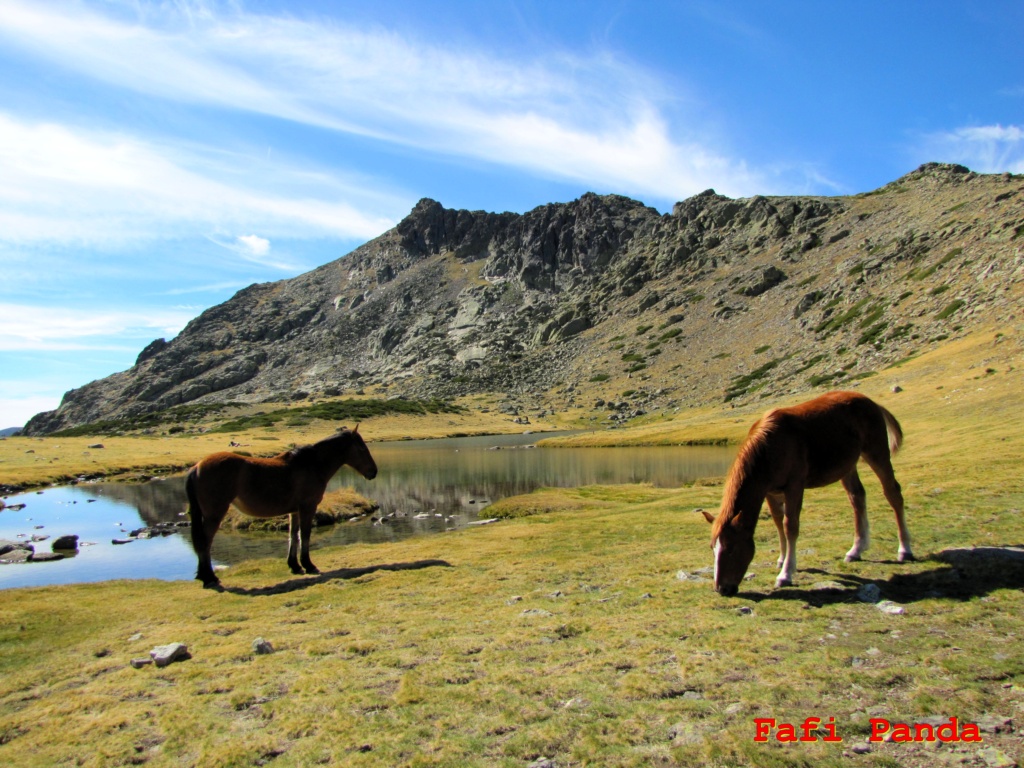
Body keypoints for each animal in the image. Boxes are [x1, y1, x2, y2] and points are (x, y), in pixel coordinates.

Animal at [186, 428, 378, 589]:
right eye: (362, 448)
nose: (374, 472)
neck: (312, 464)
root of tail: (197, 466)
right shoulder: (308, 507)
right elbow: (305, 534)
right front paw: (309, 565)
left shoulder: (294, 511)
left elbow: (293, 535)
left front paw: (295, 566)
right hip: (215, 513)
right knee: (205, 542)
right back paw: (209, 578)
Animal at [704, 393, 913, 598]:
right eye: (713, 549)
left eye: (731, 548)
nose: (722, 589)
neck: (771, 448)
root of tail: (872, 403)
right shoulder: (770, 492)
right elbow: (778, 522)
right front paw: (781, 559)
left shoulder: (794, 487)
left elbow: (790, 526)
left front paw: (786, 574)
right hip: (847, 467)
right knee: (857, 498)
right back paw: (856, 550)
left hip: (877, 453)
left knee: (893, 494)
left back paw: (905, 550)